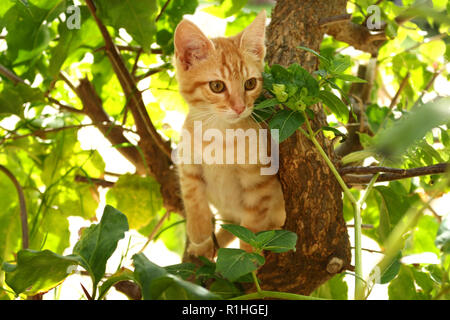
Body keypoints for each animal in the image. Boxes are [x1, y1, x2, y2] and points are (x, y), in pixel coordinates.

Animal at [172, 10, 284, 260]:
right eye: (217, 86)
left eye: (250, 83)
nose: (240, 107)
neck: (219, 135)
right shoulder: (186, 159)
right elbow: (191, 193)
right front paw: (198, 229)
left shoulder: (260, 182)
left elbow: (251, 226)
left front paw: (249, 258)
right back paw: (205, 247)